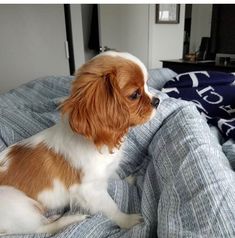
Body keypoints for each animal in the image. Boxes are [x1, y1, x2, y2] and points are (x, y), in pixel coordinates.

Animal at [0, 51, 160, 235]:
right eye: (135, 94)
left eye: (147, 85)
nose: (157, 101)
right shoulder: (89, 190)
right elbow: (111, 207)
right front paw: (127, 220)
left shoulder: (104, 172)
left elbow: (114, 175)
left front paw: (127, 179)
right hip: (18, 203)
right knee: (39, 229)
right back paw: (70, 219)